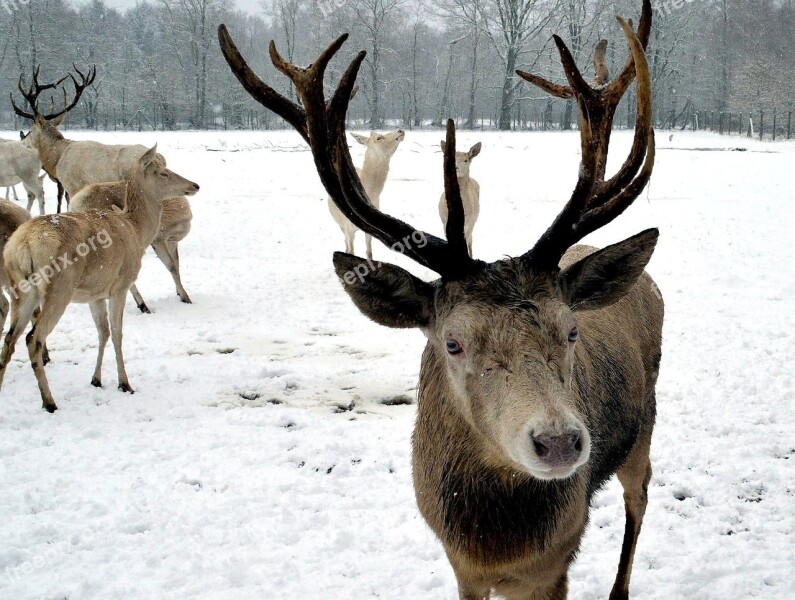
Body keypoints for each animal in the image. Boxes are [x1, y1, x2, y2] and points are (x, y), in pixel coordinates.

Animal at [71, 184, 196, 312]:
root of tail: (76, 204)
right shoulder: (158, 239)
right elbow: (171, 266)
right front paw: (186, 298)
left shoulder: (172, 241)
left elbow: (176, 263)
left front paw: (179, 293)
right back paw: (143, 305)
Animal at [218, 2, 660, 596]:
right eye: (452, 343)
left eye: (571, 331)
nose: (560, 442)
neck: (492, 544)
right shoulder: (459, 563)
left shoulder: (557, 558)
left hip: (646, 424)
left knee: (640, 497)